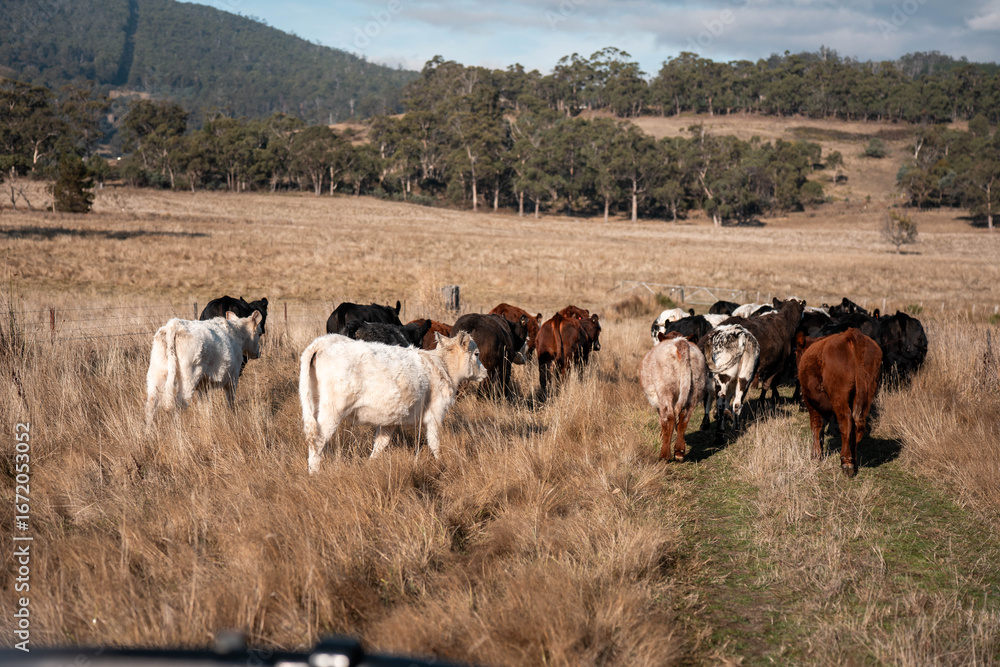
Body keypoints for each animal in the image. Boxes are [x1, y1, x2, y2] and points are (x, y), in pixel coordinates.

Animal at [299, 332, 486, 472]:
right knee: (317, 442)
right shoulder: (435, 414)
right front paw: (440, 463)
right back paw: (314, 473)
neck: (442, 365)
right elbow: (435, 443)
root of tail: (325, 341)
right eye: (476, 354)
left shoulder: (390, 420)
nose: (484, 372)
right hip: (331, 412)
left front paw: (370, 465)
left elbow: (380, 444)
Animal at [796, 328, 882, 478]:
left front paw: (816, 455)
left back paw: (846, 463)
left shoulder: (811, 401)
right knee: (856, 425)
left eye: (795, 353)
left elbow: (816, 425)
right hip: (867, 391)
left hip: (839, 394)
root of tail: (851, 334)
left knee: (846, 420)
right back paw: (853, 460)